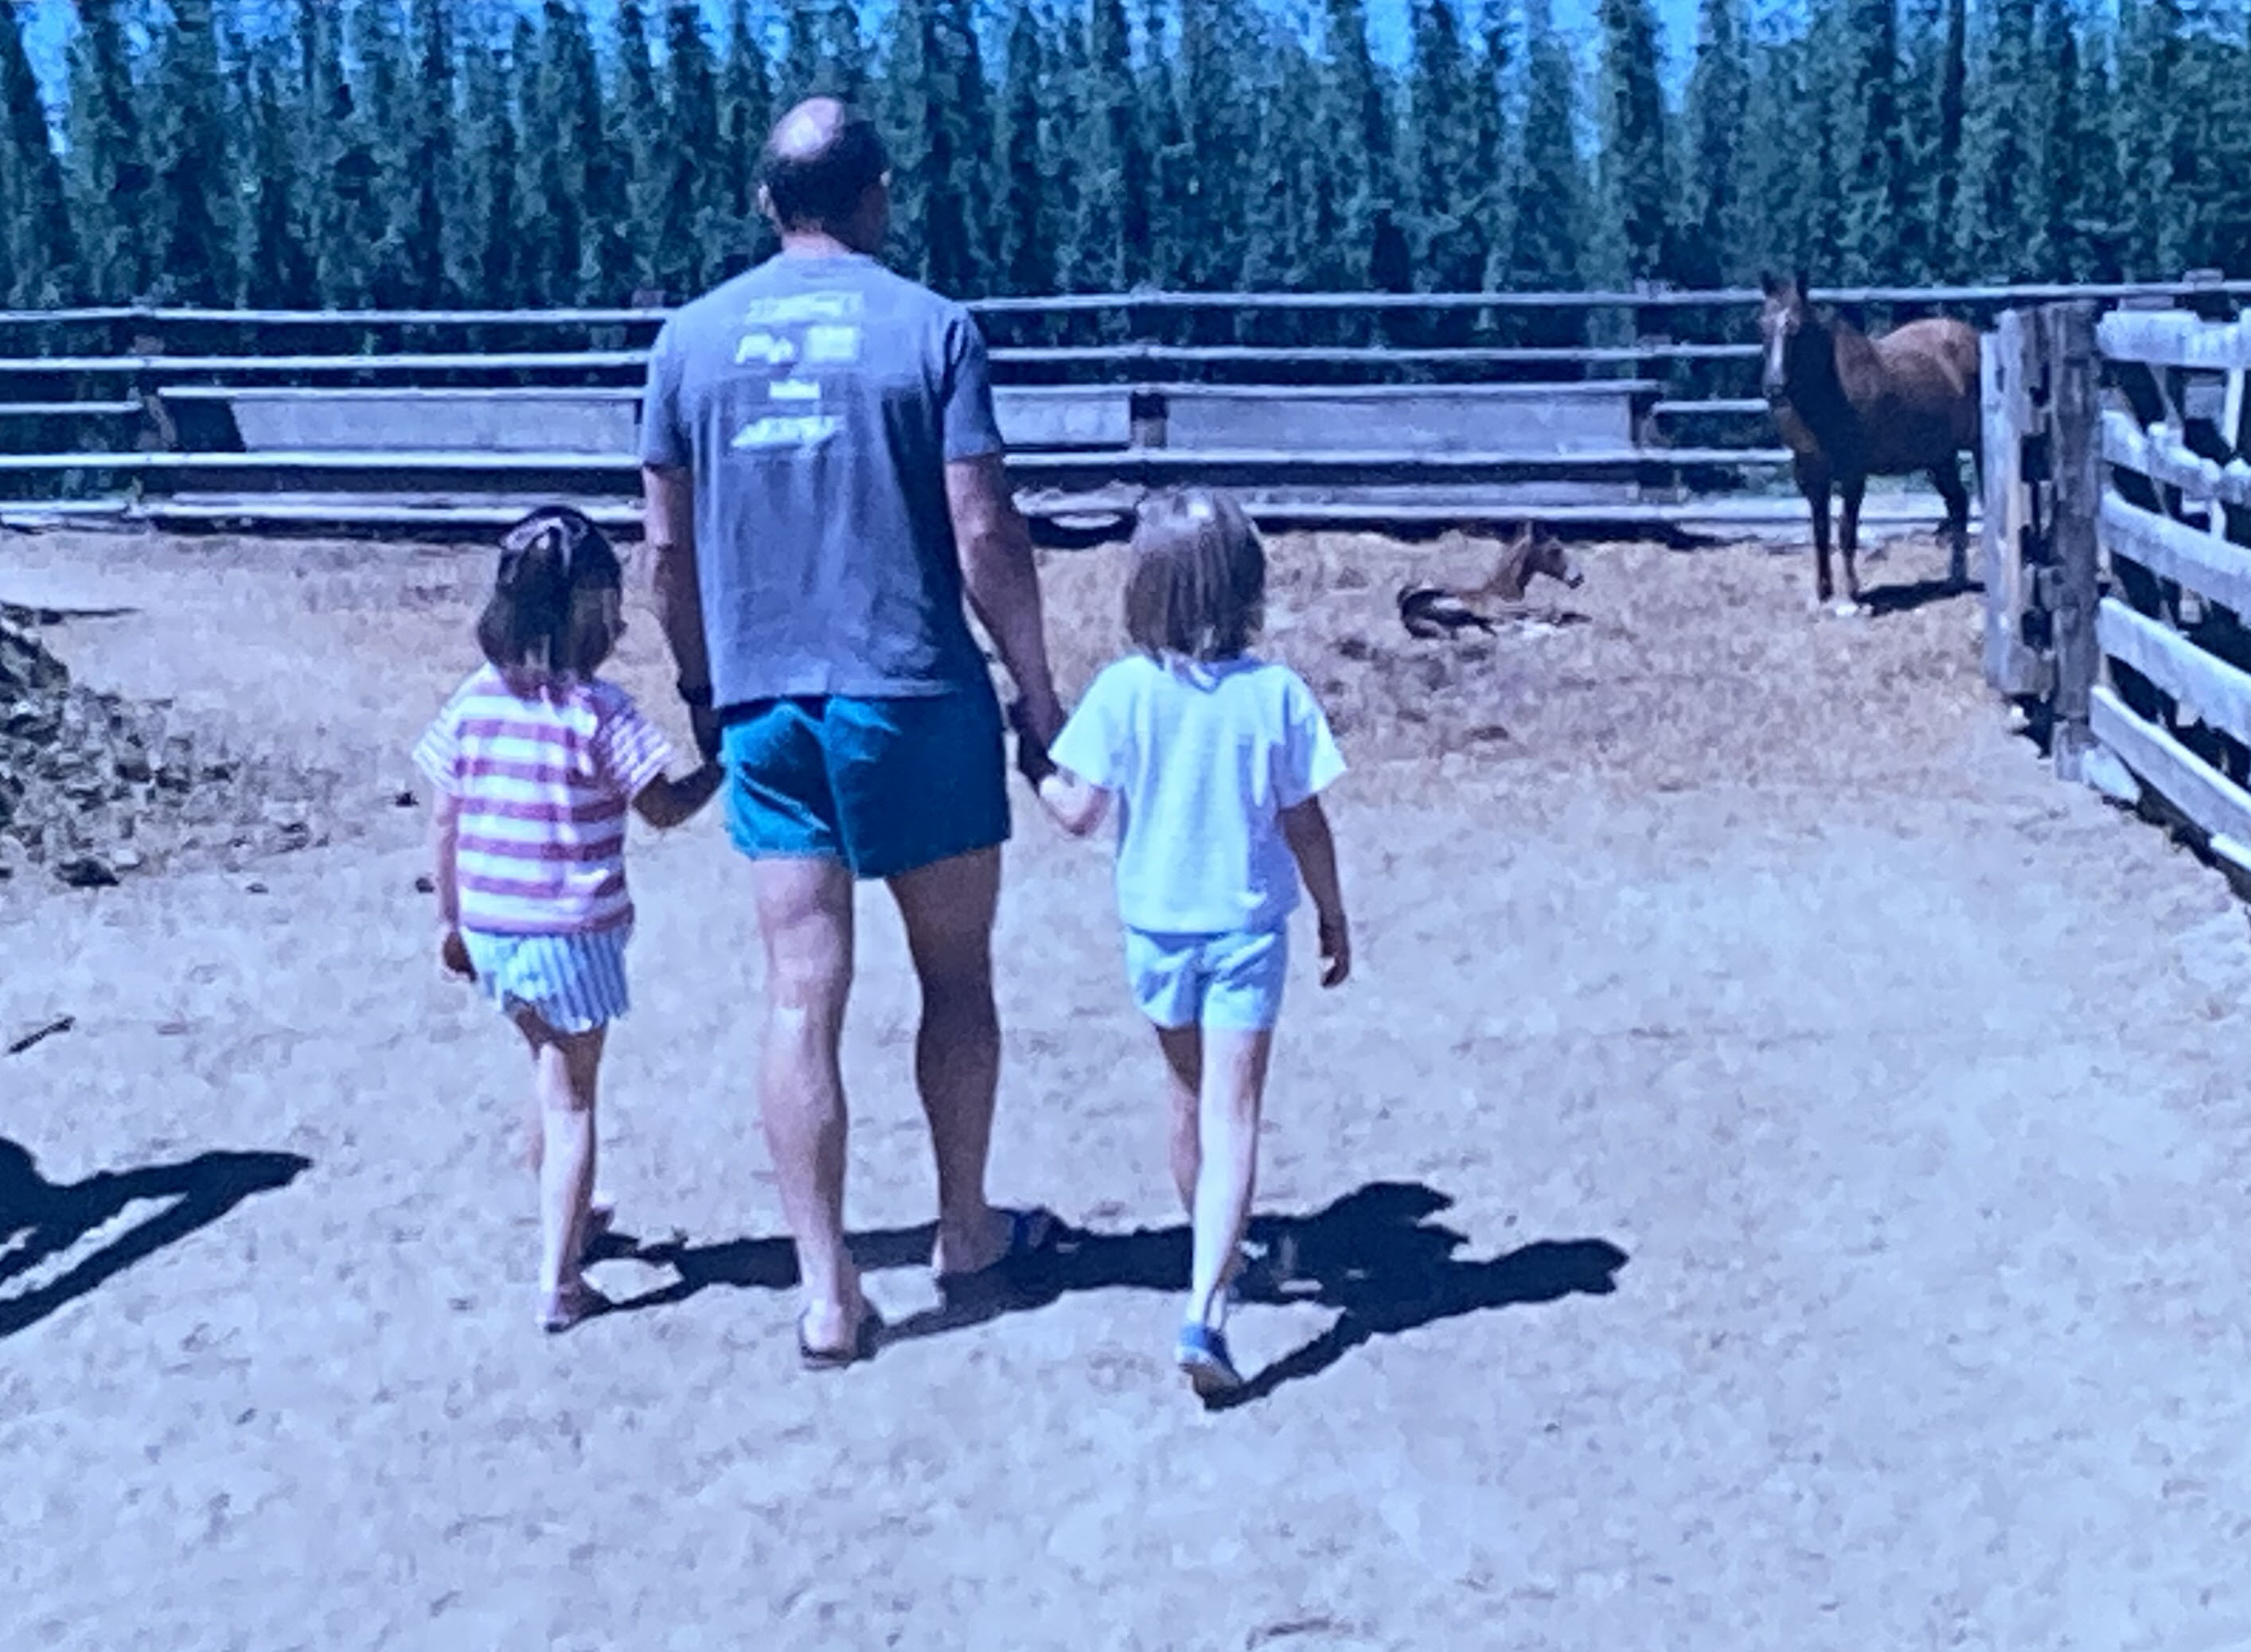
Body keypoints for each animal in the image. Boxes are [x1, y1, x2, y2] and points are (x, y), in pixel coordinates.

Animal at [1746, 275, 1980, 616]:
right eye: (1761, 325)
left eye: (1796, 328)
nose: (1774, 388)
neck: (1828, 391)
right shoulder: (1811, 474)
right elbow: (1820, 532)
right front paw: (1822, 595)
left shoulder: (1853, 474)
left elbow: (1846, 532)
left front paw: (1850, 597)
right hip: (1940, 458)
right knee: (1958, 502)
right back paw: (1955, 580)